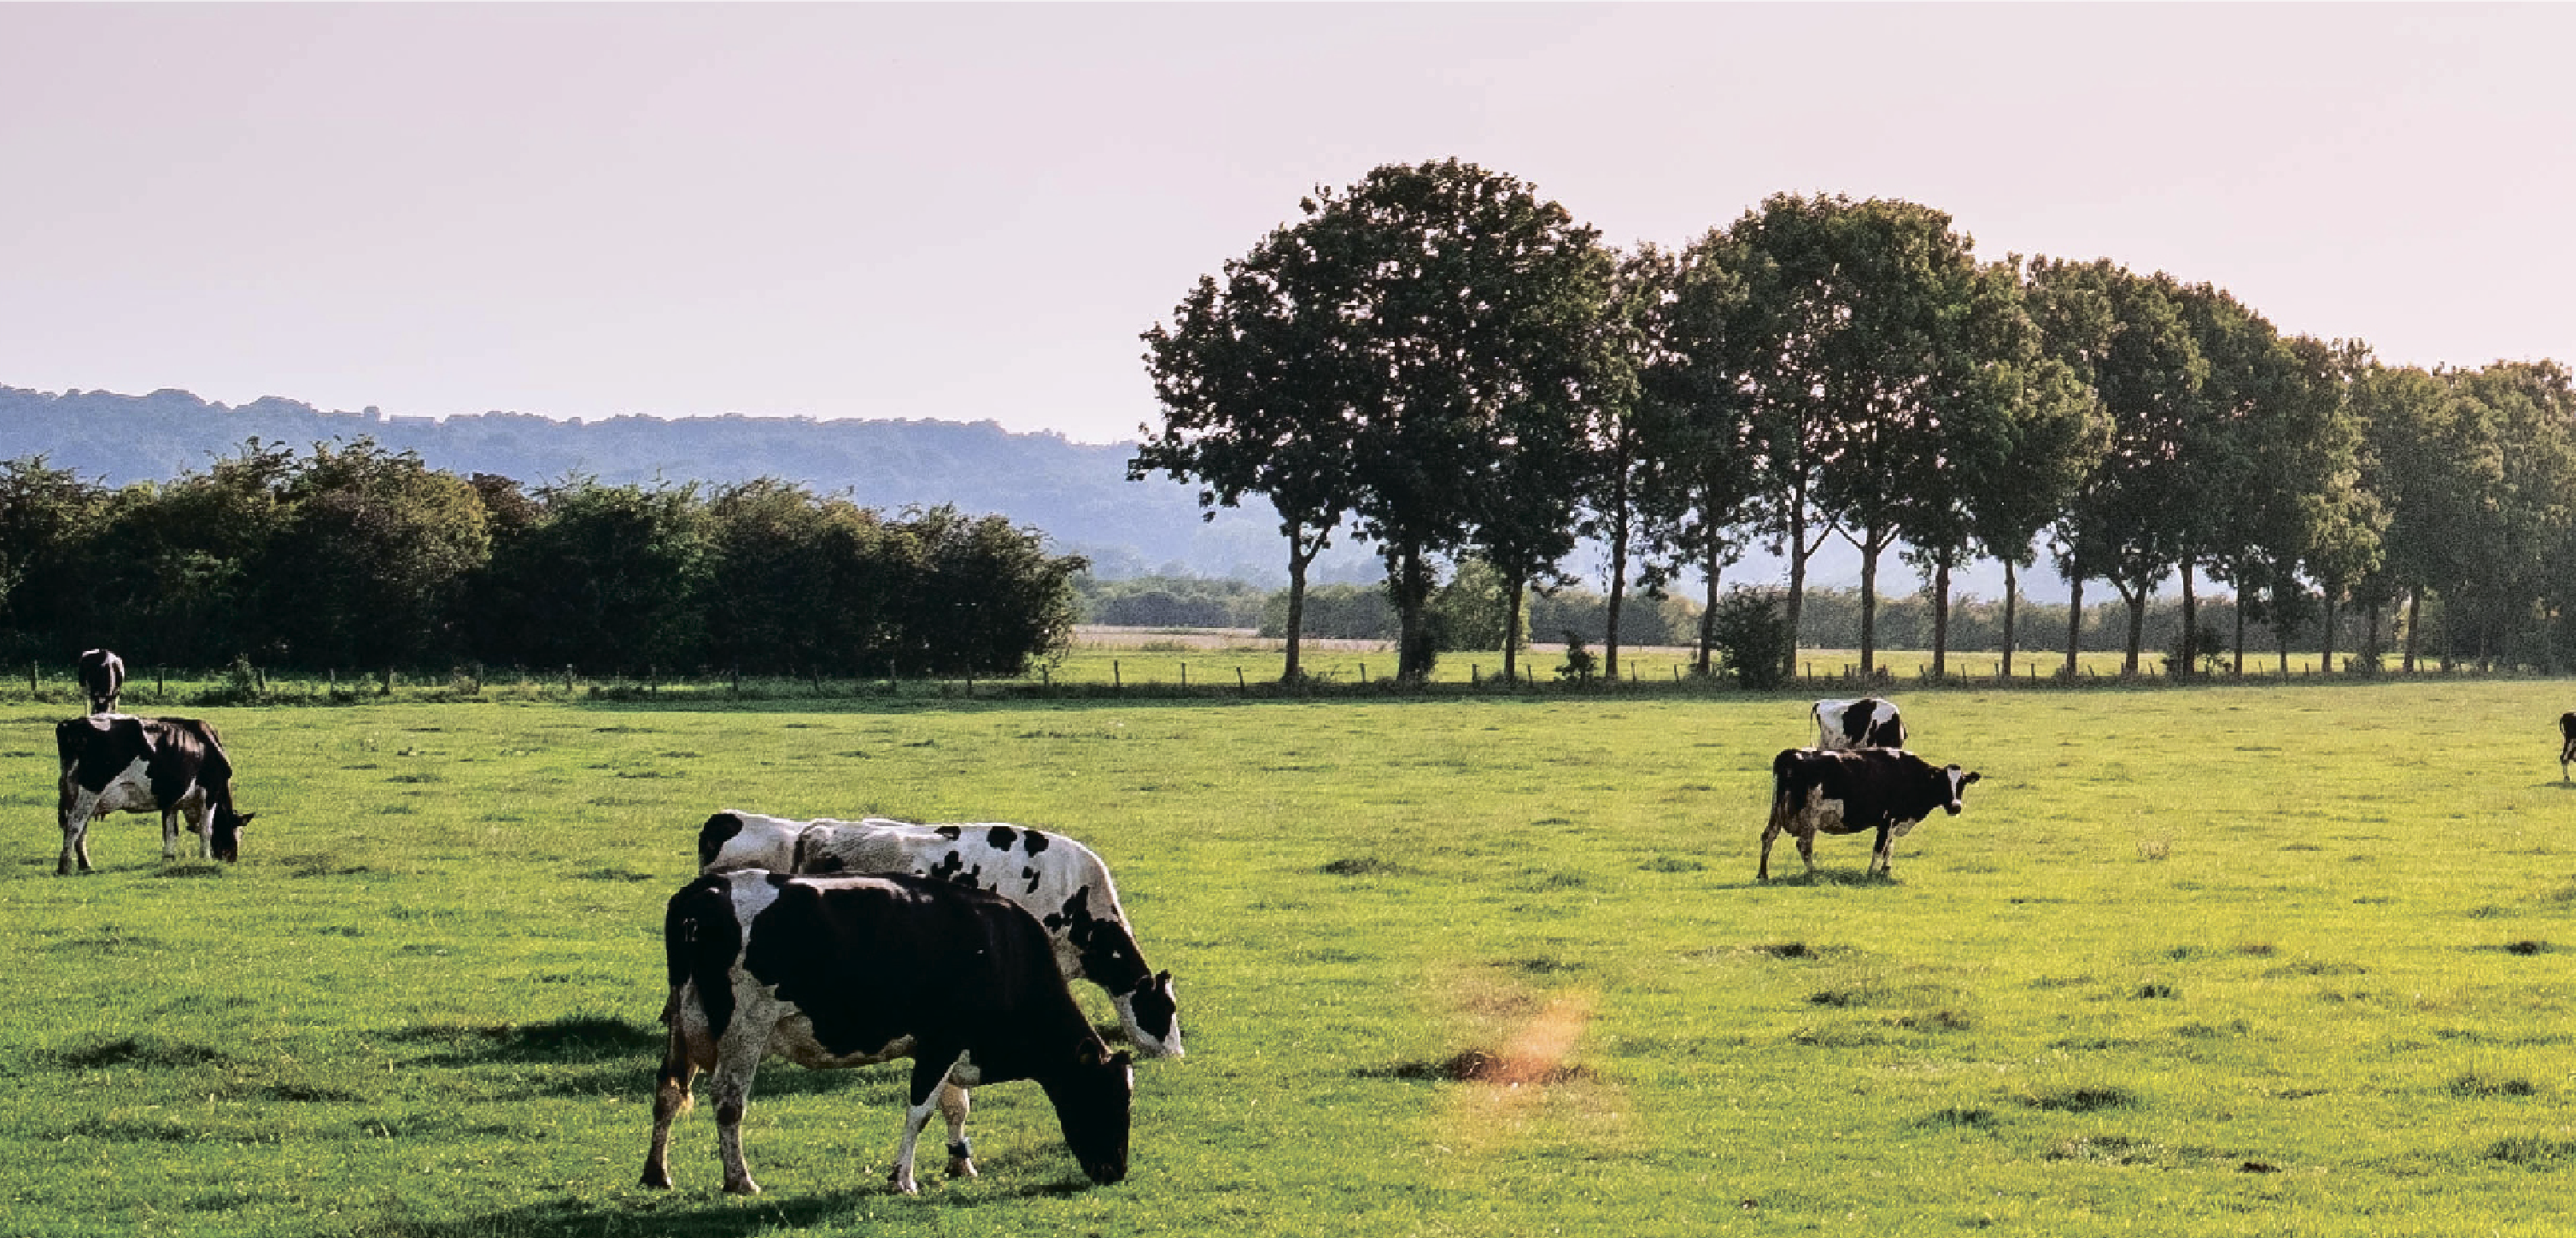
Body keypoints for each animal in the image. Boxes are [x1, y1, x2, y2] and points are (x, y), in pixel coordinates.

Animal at [54, 712, 255, 877]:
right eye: (239, 832)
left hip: (74, 792)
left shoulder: (172, 800)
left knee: (80, 827)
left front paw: (168, 859)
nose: (231, 859)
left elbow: (171, 831)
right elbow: (206, 829)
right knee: (74, 825)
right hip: (91, 789)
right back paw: (65, 866)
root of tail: (72, 724)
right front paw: (205, 859)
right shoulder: (210, 793)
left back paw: (85, 865)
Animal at [638, 866, 1133, 1196]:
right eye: (1107, 1097)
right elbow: (921, 1110)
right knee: (728, 1100)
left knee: (668, 1089)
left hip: (681, 1024)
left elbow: (955, 1106)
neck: (1001, 950)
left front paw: (961, 1164)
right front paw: (903, 1179)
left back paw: (656, 1173)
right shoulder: (941, 1041)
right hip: (744, 1026)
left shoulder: (948, 1048)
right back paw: (739, 1179)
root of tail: (703, 891)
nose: (1116, 1171)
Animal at [1761, 742, 1978, 882]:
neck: (1911, 775)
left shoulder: (1894, 821)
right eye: (1944, 782)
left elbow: (1890, 846)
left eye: (1962, 784)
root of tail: (1792, 754)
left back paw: (1763, 874)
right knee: (1804, 845)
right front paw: (1871, 874)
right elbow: (1879, 848)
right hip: (1810, 817)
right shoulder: (1887, 819)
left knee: (1768, 836)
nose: (1956, 806)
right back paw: (1813, 874)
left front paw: (1886, 871)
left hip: (1776, 812)